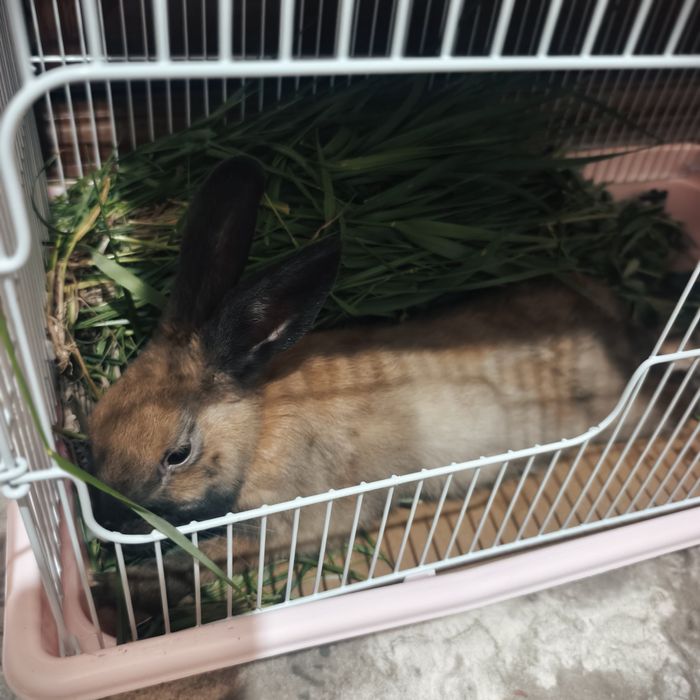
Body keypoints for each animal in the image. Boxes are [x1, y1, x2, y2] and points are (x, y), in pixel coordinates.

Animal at [87, 156, 657, 620]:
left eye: (178, 454)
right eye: (96, 423)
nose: (108, 515)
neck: (259, 427)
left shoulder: (303, 517)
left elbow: (211, 558)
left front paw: (126, 587)